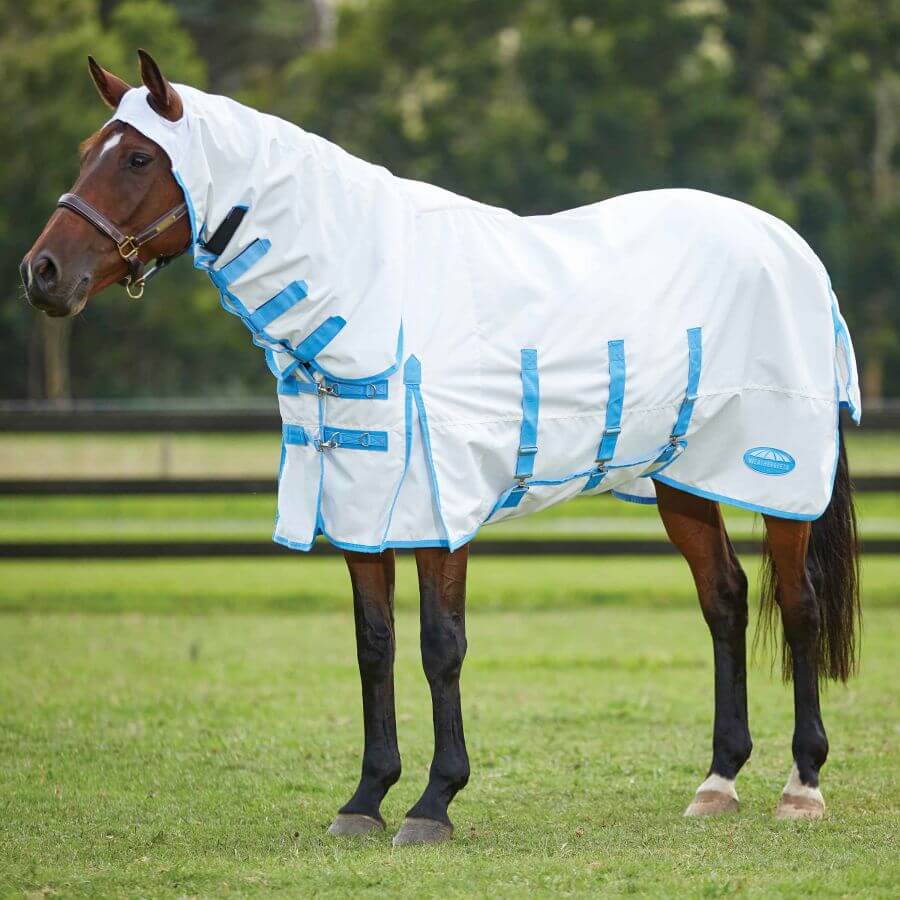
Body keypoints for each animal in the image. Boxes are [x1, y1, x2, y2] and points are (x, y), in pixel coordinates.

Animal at [21, 51, 861, 846]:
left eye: (138, 158)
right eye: (89, 148)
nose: (42, 273)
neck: (372, 292)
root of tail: (792, 249)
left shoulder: (437, 510)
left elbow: (439, 645)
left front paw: (434, 803)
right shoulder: (360, 507)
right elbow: (375, 645)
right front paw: (365, 799)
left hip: (778, 482)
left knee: (798, 605)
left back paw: (803, 786)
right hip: (684, 479)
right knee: (724, 598)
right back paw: (718, 781)